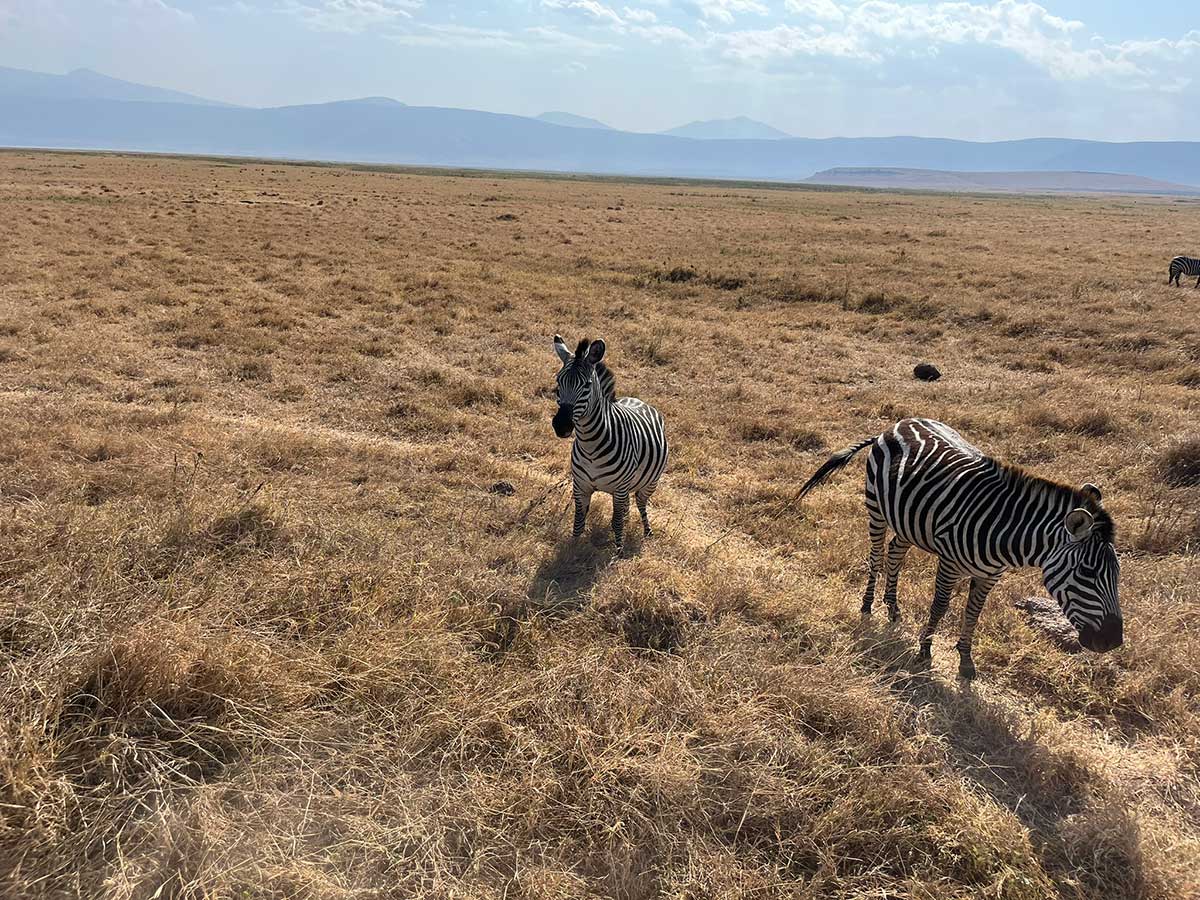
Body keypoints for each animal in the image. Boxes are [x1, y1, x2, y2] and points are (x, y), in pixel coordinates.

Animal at [551, 335, 668, 548]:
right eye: (558, 381)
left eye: (587, 385)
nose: (561, 426)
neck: (589, 445)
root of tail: (637, 400)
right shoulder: (580, 486)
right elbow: (578, 521)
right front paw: (573, 549)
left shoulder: (620, 489)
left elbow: (617, 521)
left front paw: (618, 551)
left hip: (650, 483)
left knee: (641, 503)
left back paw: (647, 531)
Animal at [798, 418, 1122, 679]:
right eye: (1087, 573)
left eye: (1117, 575)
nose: (1114, 641)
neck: (1004, 530)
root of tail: (897, 423)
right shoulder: (950, 564)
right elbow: (940, 605)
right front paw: (925, 650)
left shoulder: (991, 575)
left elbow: (973, 613)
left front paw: (966, 659)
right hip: (876, 507)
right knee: (876, 555)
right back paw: (867, 605)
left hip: (907, 520)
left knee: (895, 554)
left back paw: (892, 607)